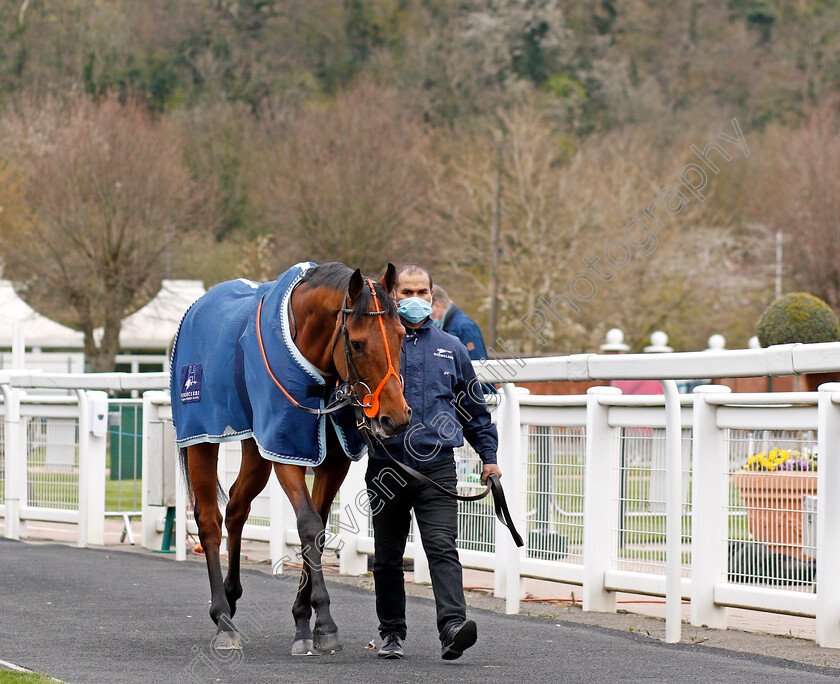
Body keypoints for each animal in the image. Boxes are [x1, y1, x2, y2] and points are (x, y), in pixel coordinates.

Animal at [171, 260, 410, 656]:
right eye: (357, 343)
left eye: (402, 335)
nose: (396, 417)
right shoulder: (286, 450)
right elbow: (308, 523)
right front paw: (324, 622)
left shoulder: (331, 459)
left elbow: (318, 532)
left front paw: (303, 620)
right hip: (201, 437)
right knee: (209, 520)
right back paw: (223, 620)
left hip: (256, 445)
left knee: (237, 506)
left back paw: (232, 597)